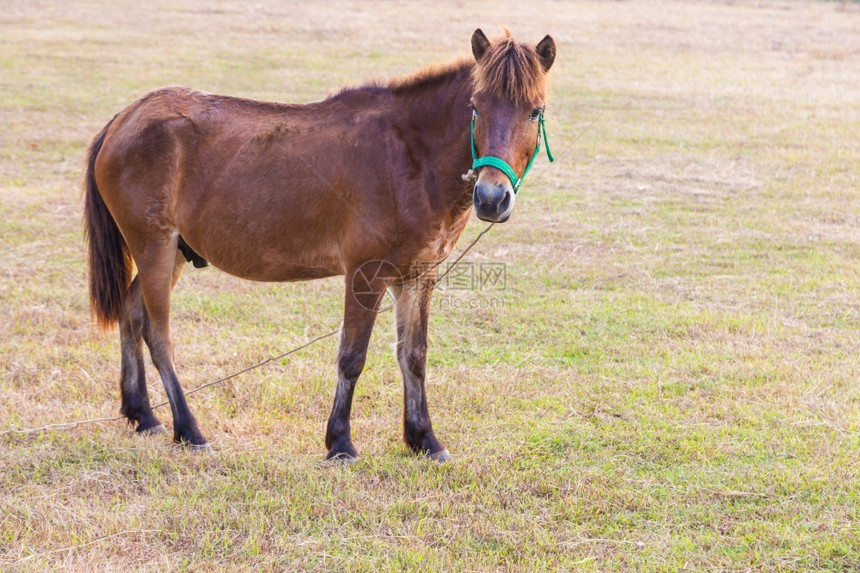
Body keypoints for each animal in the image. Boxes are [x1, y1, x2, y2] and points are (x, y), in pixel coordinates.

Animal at [84, 30, 556, 460]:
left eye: (535, 111)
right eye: (476, 107)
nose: (492, 198)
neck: (410, 154)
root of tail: (125, 118)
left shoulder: (419, 275)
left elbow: (414, 355)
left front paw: (423, 438)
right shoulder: (366, 274)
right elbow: (352, 356)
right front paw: (340, 441)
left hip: (172, 255)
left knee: (131, 315)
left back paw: (143, 414)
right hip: (155, 248)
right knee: (157, 334)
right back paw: (189, 429)